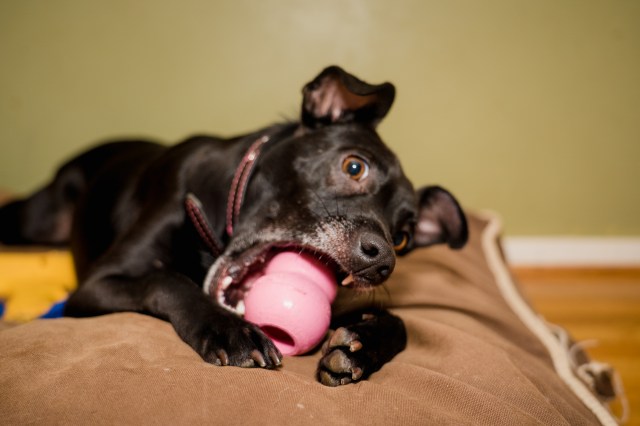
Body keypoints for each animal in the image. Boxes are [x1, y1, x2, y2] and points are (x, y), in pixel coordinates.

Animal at [0, 66, 468, 386]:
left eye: (403, 238)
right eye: (354, 167)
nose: (383, 262)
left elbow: (402, 322)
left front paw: (361, 348)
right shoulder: (96, 283)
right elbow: (166, 280)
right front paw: (229, 331)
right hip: (34, 224)